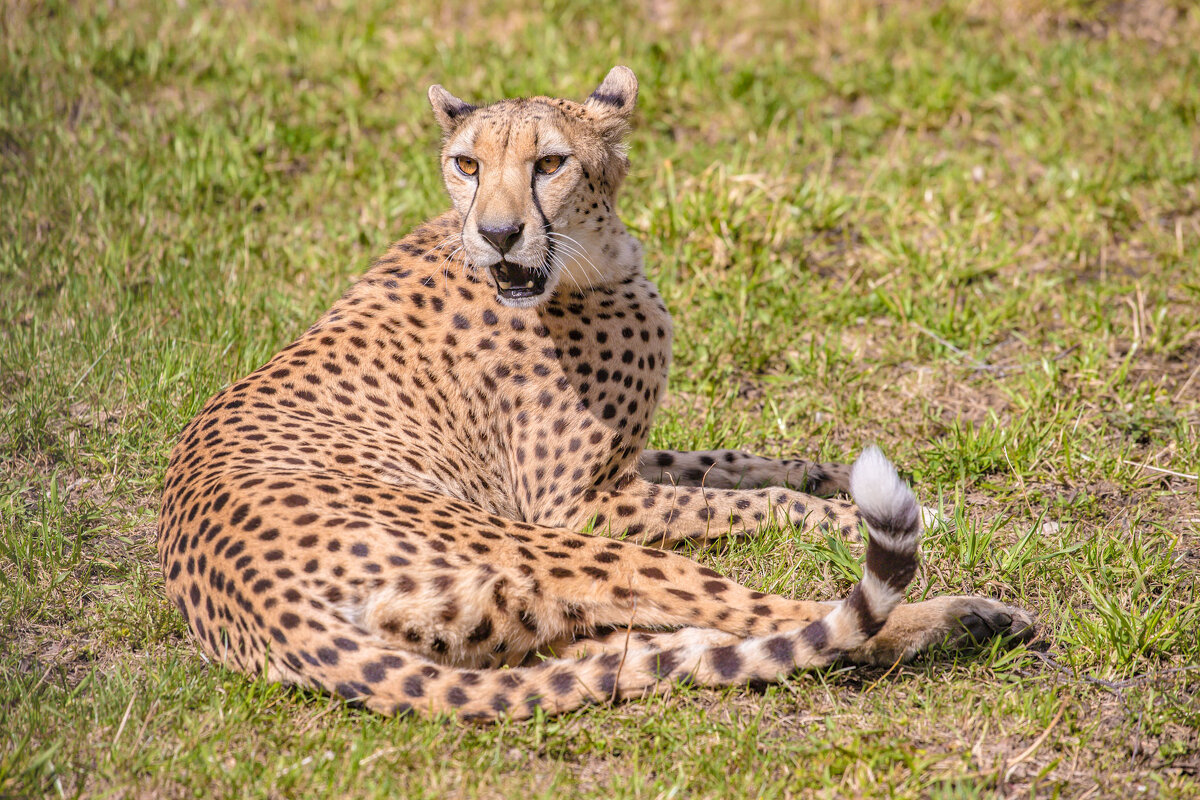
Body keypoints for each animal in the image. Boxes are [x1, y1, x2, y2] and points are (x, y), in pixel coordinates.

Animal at [159, 67, 1036, 719]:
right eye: (467, 164)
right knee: (791, 619)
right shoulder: (579, 505)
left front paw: (819, 472)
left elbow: (732, 462)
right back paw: (967, 614)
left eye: (549, 163)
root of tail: (254, 608)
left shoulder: (625, 466)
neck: (590, 259)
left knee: (651, 651)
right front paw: (917, 515)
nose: (499, 235)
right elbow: (762, 503)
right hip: (550, 548)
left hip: (506, 623)